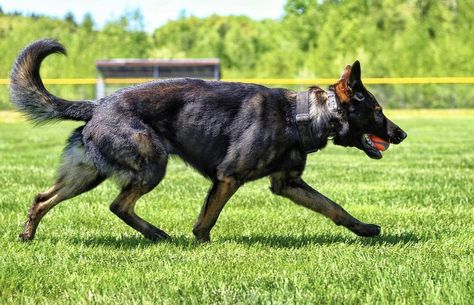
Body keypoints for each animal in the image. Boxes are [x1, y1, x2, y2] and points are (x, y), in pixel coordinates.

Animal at [9, 39, 406, 241]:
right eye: (377, 110)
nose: (401, 134)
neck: (301, 116)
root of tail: (98, 104)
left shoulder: (287, 184)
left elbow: (333, 207)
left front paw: (364, 229)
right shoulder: (228, 177)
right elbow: (207, 219)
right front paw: (202, 243)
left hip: (87, 174)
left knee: (42, 198)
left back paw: (27, 236)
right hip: (151, 165)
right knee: (118, 205)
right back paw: (157, 235)